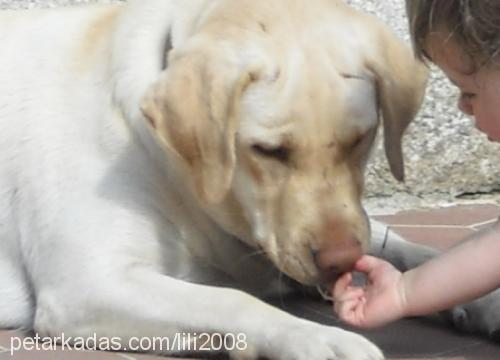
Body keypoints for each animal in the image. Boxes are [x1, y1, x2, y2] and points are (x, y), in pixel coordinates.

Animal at [0, 0, 430, 358]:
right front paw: (318, 337)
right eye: (268, 150)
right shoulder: (87, 285)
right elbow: (231, 299)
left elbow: (397, 244)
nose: (340, 261)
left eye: (361, 138)